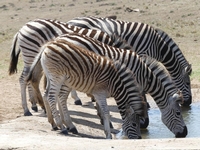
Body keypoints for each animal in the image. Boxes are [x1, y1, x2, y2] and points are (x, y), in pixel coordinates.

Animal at [50, 33, 188, 138]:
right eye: (178, 113)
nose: (185, 133)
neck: (144, 75)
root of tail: (59, 37)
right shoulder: (132, 85)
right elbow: (135, 104)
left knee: (55, 95)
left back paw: (61, 123)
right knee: (61, 96)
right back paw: (69, 125)